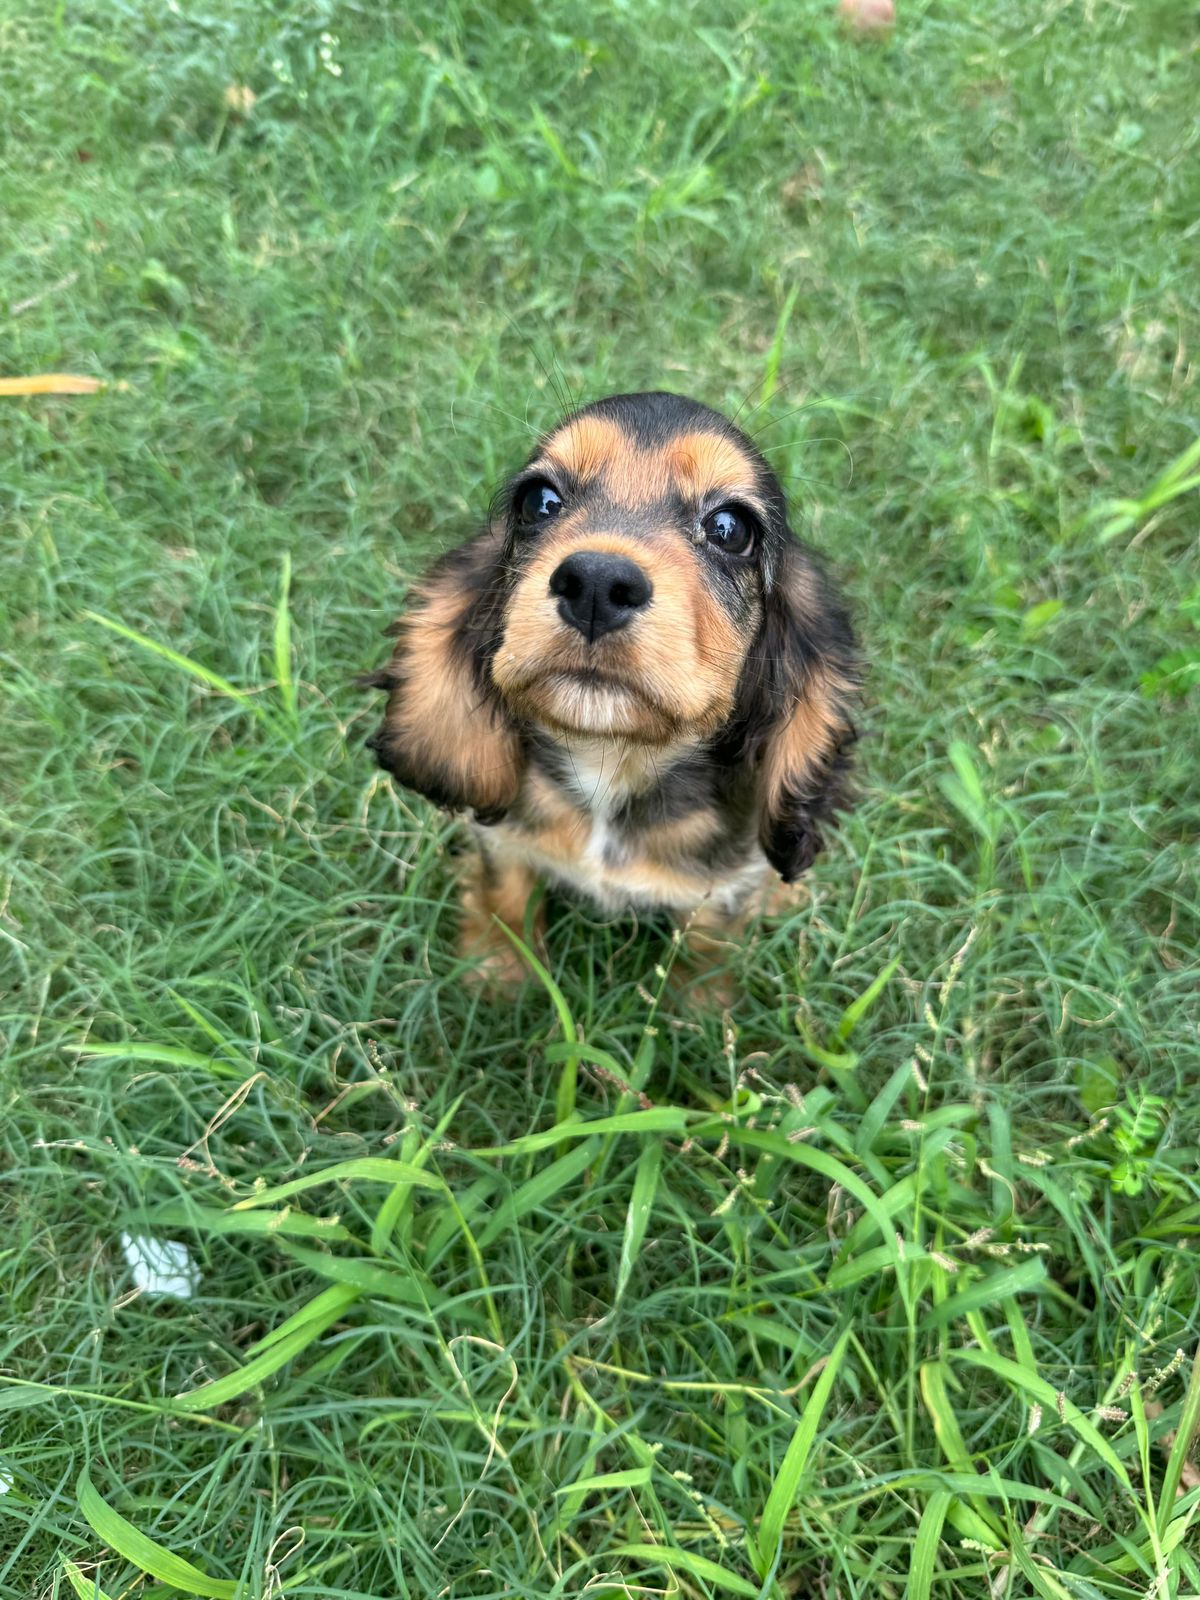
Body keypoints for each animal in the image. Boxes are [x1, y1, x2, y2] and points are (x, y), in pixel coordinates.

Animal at [361, 390, 857, 985]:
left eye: (730, 528)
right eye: (539, 501)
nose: (596, 583)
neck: (609, 763)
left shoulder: (718, 894)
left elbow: (703, 961)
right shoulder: (505, 843)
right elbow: (506, 901)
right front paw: (498, 976)